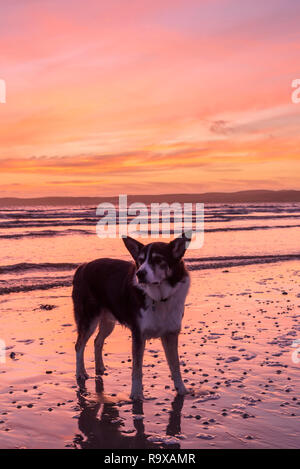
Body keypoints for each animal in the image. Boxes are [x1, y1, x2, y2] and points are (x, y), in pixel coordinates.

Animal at [72, 232, 190, 400]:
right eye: (140, 261)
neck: (159, 296)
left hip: (108, 322)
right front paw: (136, 393)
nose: (139, 273)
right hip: (89, 319)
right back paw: (80, 373)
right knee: (79, 345)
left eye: (157, 260)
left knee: (97, 341)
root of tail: (82, 267)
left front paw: (181, 389)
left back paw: (99, 368)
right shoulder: (138, 334)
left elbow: (175, 365)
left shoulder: (171, 333)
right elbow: (137, 368)